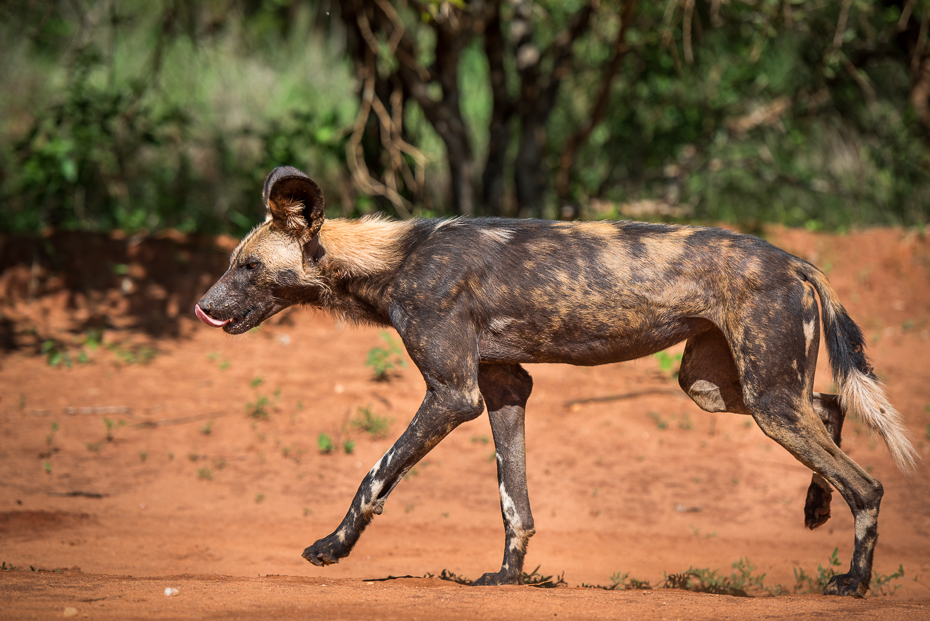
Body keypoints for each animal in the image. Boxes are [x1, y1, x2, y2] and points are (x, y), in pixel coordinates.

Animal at [194, 165, 912, 596]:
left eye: (249, 266)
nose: (203, 305)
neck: (393, 260)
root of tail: (794, 258)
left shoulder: (451, 396)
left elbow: (374, 476)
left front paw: (331, 548)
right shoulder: (503, 388)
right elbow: (515, 502)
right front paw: (507, 576)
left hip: (766, 400)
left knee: (868, 483)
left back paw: (852, 580)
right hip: (719, 387)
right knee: (828, 405)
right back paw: (816, 508)